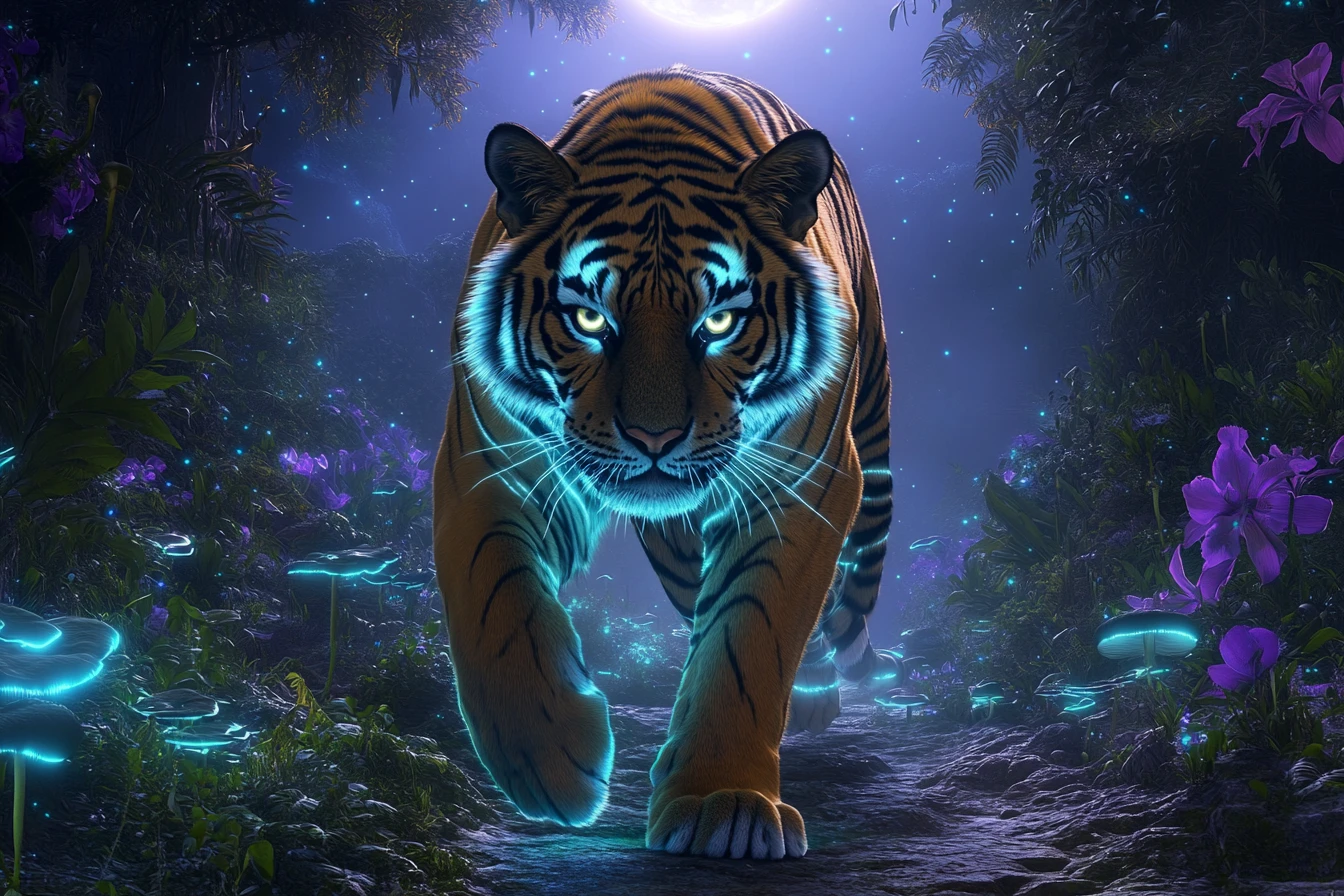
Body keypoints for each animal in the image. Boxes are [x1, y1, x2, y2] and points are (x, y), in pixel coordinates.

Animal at [433, 64, 893, 860]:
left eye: (720, 321)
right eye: (589, 318)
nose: (655, 439)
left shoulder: (804, 481)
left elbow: (748, 637)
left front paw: (724, 802)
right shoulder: (487, 464)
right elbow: (492, 604)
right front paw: (550, 760)